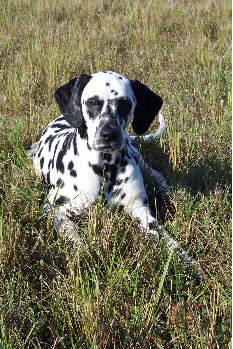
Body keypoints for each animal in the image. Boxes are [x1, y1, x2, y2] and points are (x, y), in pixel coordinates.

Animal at [27, 70, 201, 272]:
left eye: (125, 104)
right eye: (93, 102)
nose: (108, 134)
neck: (105, 167)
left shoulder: (141, 211)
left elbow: (169, 241)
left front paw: (189, 262)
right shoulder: (56, 210)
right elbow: (74, 236)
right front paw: (83, 253)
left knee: (157, 175)